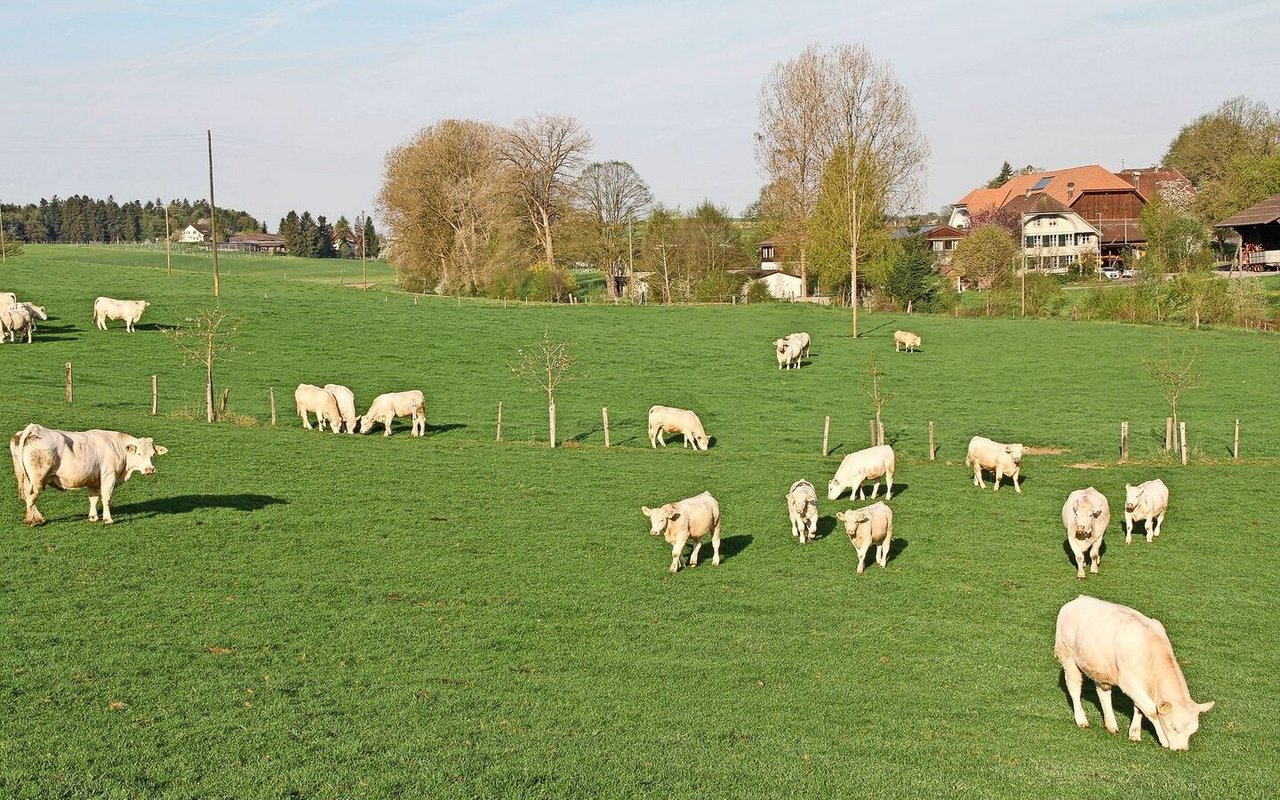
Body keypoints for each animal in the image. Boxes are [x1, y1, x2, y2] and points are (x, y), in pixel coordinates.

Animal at [9, 422, 167, 527]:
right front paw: (108, 519)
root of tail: (34, 428)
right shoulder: (108, 476)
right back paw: (31, 521)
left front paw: (93, 517)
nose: (150, 469)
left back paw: (38, 518)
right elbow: (106, 498)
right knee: (32, 495)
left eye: (153, 454)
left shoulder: (93, 479)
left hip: (24, 476)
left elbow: (93, 498)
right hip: (38, 477)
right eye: (139, 453)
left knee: (28, 495)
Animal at [1054, 596, 1213, 752]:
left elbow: (1139, 708)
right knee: (1074, 687)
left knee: (1103, 693)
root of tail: (1076, 600)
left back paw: (1111, 725)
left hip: (1100, 666)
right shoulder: (1129, 682)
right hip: (1067, 655)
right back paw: (1081, 720)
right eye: (1173, 727)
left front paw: (1134, 733)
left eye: (1193, 731)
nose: (1181, 749)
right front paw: (1163, 739)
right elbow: (1151, 710)